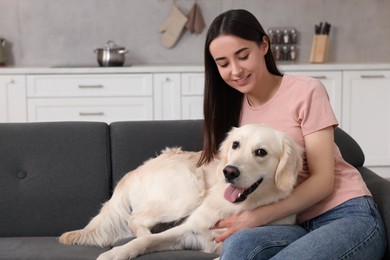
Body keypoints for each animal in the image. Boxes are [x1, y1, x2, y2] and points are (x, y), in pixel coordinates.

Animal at [59, 125, 302, 258]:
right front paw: (115, 253)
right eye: (235, 145)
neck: (234, 207)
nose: (229, 171)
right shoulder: (189, 230)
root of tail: (134, 171)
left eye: (261, 152)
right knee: (136, 220)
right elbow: (144, 242)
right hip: (189, 193)